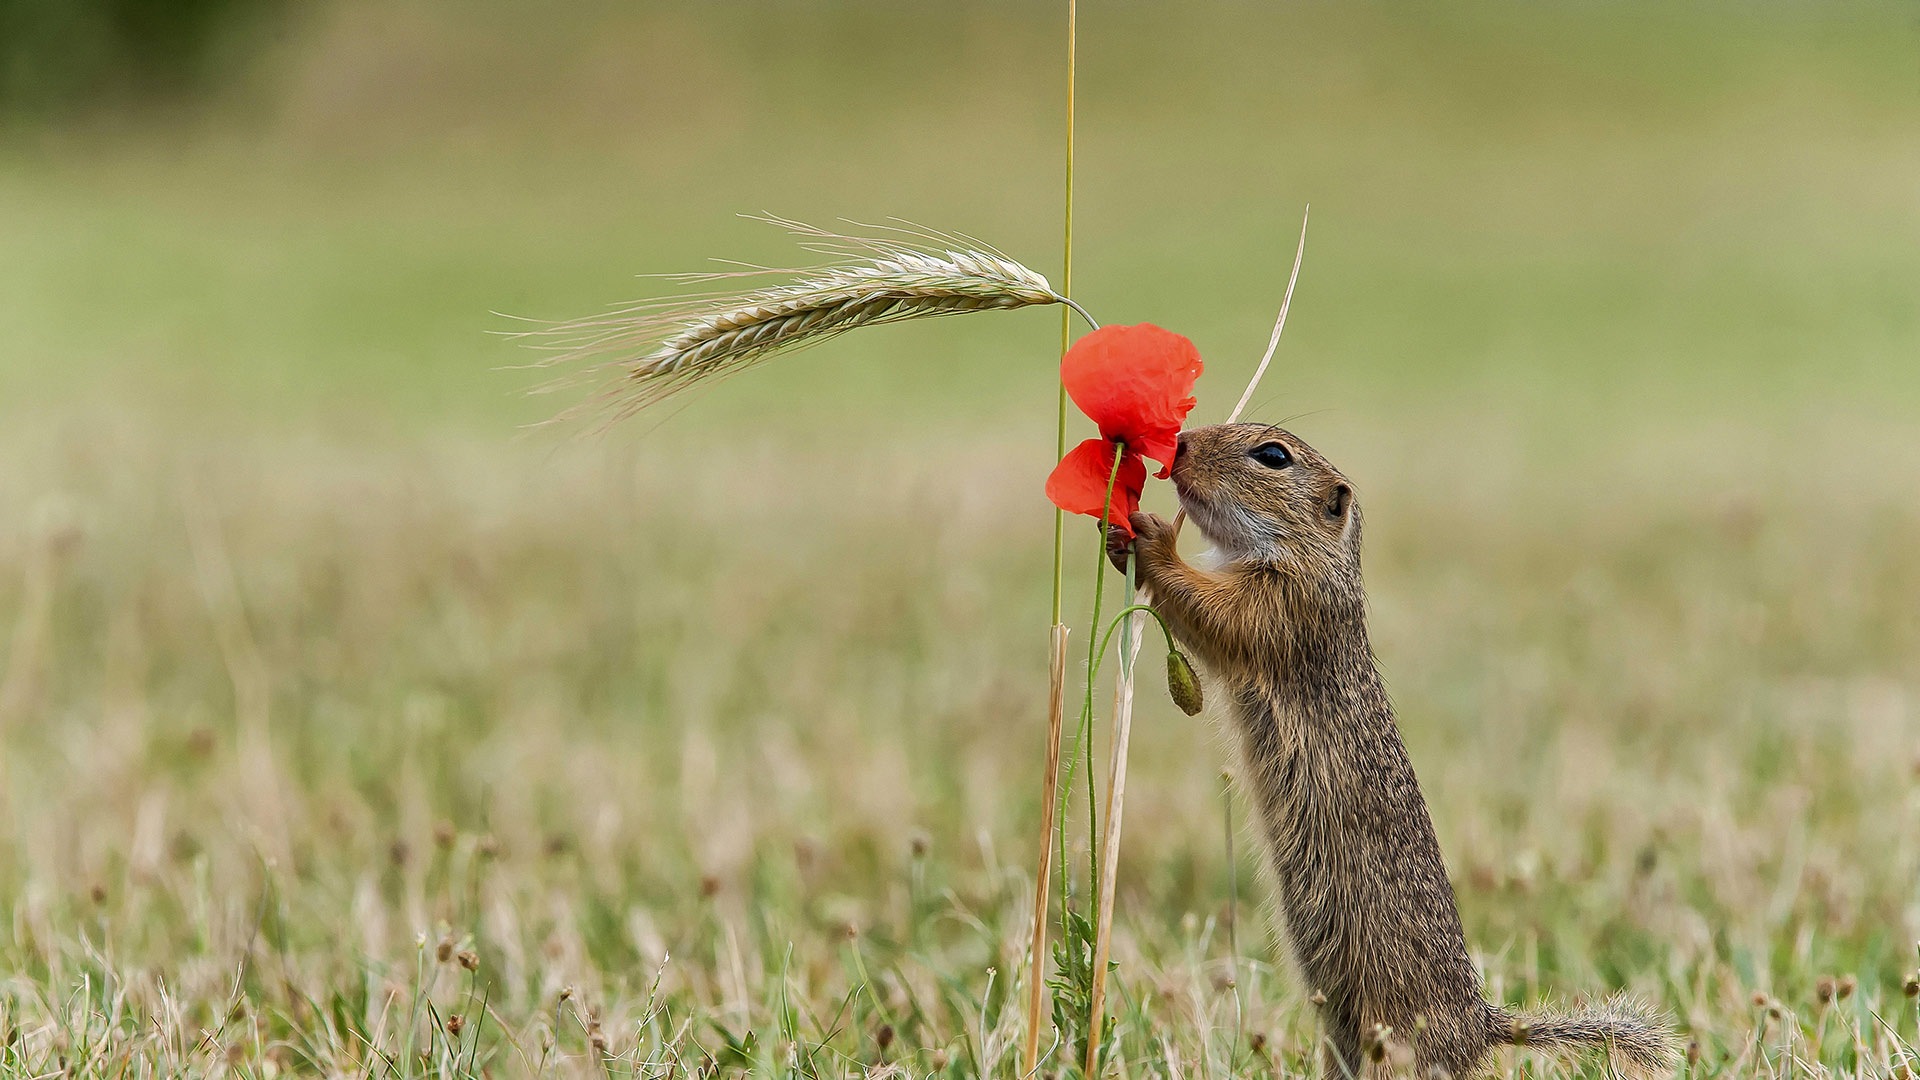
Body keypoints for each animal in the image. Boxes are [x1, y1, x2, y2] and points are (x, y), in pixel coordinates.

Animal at [1113, 422, 1681, 1076]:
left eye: (1273, 456)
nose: (1177, 445)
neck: (1312, 558)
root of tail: (1479, 1029)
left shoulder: (1285, 605)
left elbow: (1213, 612)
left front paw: (1152, 538)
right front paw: (1117, 538)